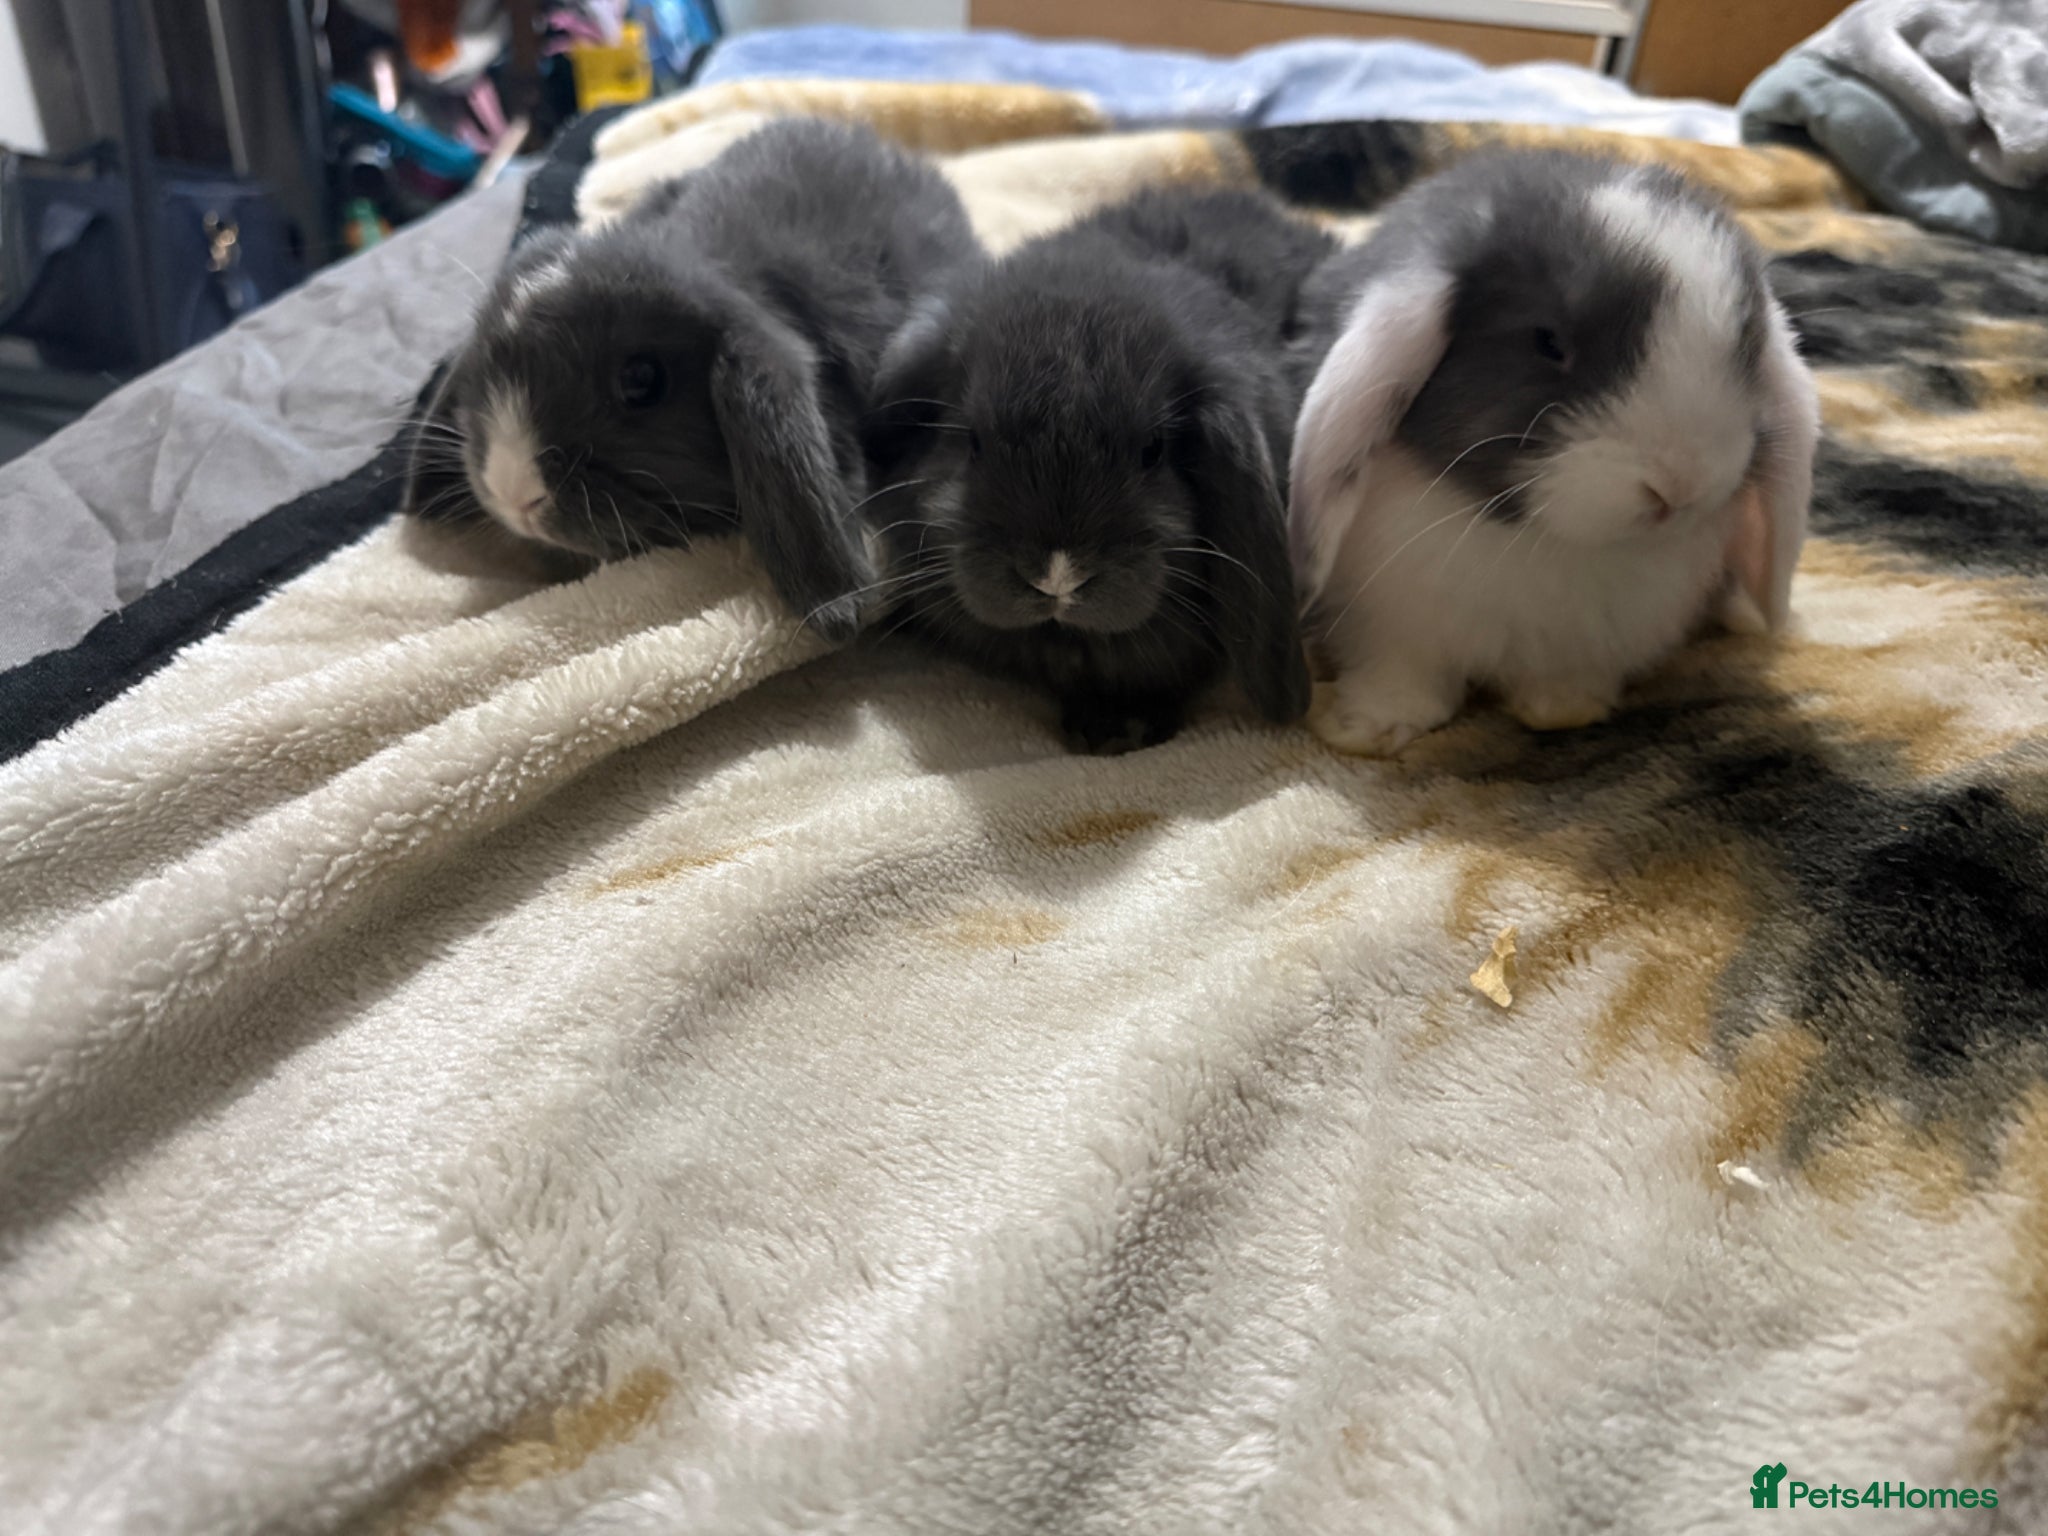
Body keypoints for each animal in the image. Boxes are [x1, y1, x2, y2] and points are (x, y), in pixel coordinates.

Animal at [1287, 149, 1820, 756]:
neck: (1546, 542)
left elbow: (1565, 679)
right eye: (1548, 342)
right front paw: (1362, 729)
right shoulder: (1391, 626)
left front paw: (1565, 709)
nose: (1680, 487)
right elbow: (1402, 676)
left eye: (1746, 349)